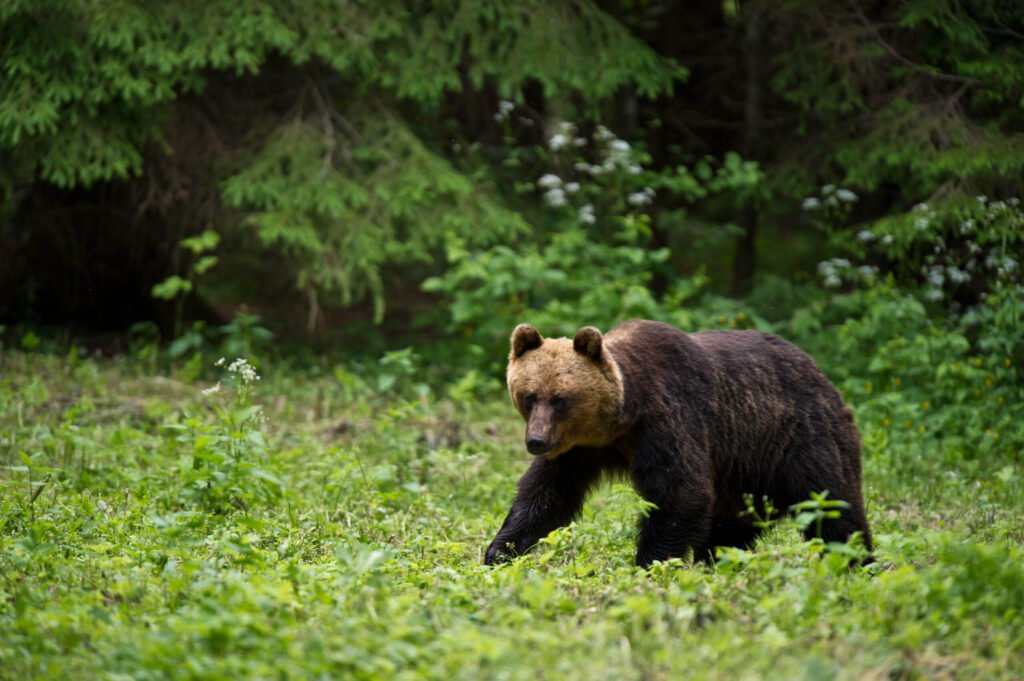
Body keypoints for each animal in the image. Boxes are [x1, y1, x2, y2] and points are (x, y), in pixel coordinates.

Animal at [483, 319, 872, 567]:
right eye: (530, 396)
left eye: (560, 399)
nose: (536, 441)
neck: (619, 421)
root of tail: (821, 374)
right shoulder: (579, 449)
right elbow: (547, 495)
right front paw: (499, 551)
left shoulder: (668, 423)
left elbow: (680, 494)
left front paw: (647, 565)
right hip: (742, 477)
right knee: (728, 530)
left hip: (800, 440)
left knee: (833, 507)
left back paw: (854, 564)